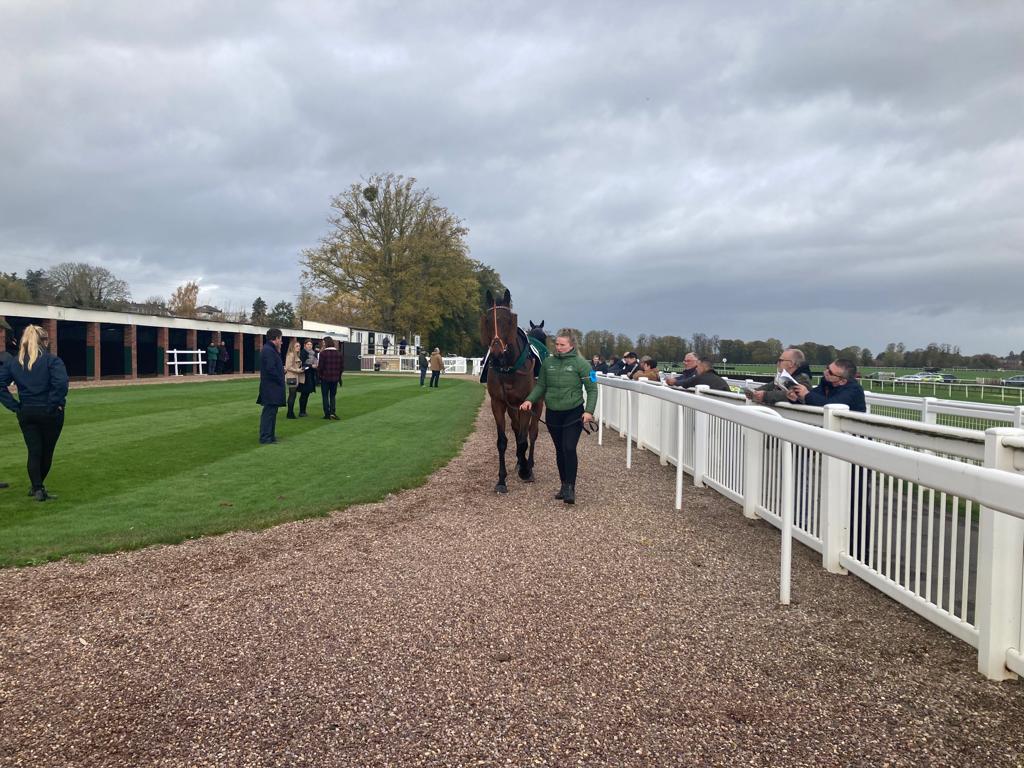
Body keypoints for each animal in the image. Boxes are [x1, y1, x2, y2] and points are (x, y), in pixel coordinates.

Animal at [481, 286, 544, 493]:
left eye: (508, 320)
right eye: (487, 321)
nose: (496, 355)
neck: (508, 368)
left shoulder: (526, 402)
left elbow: (525, 439)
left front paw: (525, 470)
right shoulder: (499, 403)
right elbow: (503, 441)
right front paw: (502, 479)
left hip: (538, 404)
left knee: (532, 433)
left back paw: (528, 465)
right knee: (517, 430)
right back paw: (520, 461)